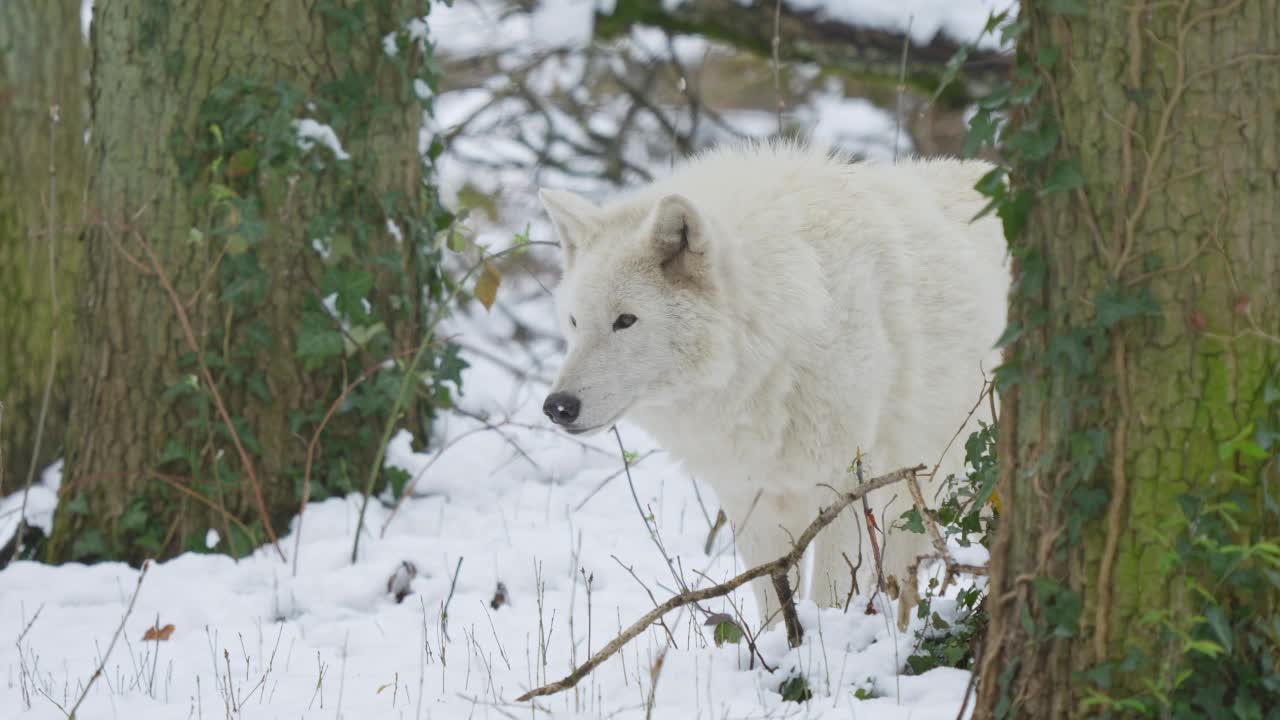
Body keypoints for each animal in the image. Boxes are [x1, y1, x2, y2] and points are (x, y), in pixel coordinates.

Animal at [540, 141, 1008, 622]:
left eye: (625, 320)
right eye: (574, 322)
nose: (557, 406)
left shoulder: (846, 486)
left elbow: (831, 598)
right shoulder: (753, 500)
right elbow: (773, 604)